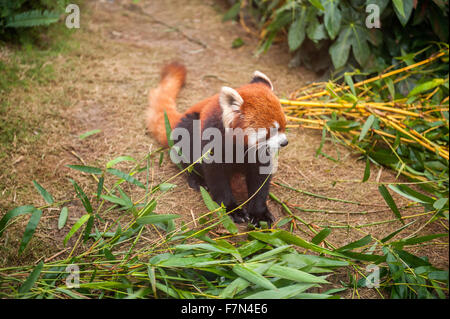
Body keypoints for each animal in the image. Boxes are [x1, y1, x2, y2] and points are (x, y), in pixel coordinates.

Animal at [148, 62, 288, 226]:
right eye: (272, 130)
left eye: (284, 126)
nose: (285, 142)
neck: (239, 145)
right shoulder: (212, 144)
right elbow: (217, 178)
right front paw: (232, 209)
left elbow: (260, 180)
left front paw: (259, 214)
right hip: (189, 127)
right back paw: (197, 180)